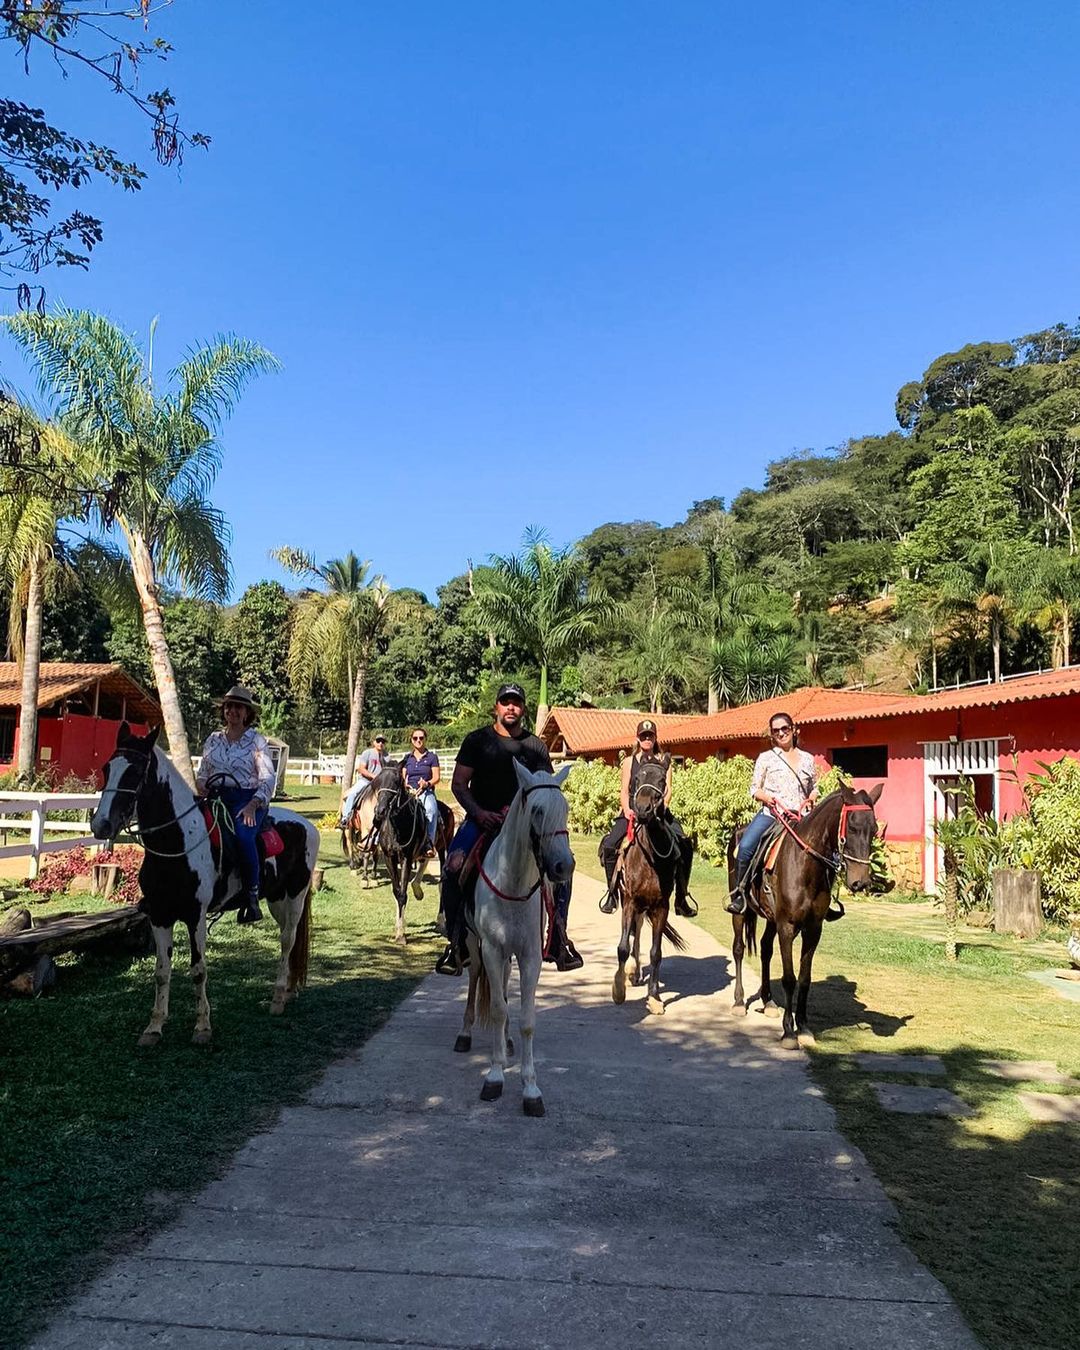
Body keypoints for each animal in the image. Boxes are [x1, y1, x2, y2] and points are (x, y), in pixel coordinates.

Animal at [90, 723, 318, 1047]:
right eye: (107, 768)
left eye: (135, 772)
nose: (101, 825)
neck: (177, 842)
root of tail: (305, 825)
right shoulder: (159, 915)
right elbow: (161, 971)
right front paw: (154, 1027)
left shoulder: (195, 916)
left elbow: (198, 970)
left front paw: (202, 1026)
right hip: (276, 900)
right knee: (290, 938)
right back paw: (287, 992)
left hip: (296, 895)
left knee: (287, 940)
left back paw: (276, 1000)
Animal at [453, 761, 572, 1117]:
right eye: (536, 810)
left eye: (565, 809)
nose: (563, 866)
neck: (514, 883)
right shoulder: (492, 949)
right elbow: (497, 1009)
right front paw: (494, 1077)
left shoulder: (530, 955)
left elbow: (526, 1019)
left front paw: (531, 1089)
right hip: (474, 945)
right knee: (476, 982)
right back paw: (465, 1033)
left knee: (504, 986)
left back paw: (505, 1042)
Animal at [612, 761, 688, 1015]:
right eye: (636, 778)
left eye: (662, 781)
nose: (643, 810)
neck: (650, 858)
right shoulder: (629, 901)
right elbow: (623, 947)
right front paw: (618, 990)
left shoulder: (660, 907)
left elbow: (656, 952)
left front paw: (654, 997)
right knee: (633, 935)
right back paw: (631, 973)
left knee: (638, 934)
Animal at [723, 788, 885, 1047]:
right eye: (851, 827)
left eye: (874, 829)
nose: (860, 883)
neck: (806, 865)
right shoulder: (787, 927)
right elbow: (789, 978)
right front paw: (789, 1032)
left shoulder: (813, 929)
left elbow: (804, 978)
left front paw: (805, 1028)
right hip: (741, 910)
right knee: (738, 948)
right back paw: (739, 1002)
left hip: (772, 918)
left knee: (765, 949)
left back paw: (768, 1002)